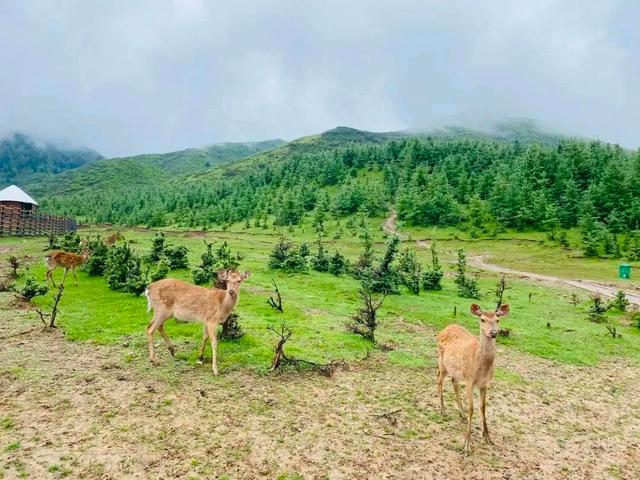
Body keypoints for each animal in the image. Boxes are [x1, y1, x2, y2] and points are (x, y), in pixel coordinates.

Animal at [436, 304, 510, 454]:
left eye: (497, 319)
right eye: (482, 319)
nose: (494, 332)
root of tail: (445, 328)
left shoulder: (484, 383)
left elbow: (483, 407)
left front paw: (488, 437)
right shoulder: (470, 380)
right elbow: (472, 408)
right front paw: (466, 444)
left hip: (456, 371)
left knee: (453, 383)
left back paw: (462, 414)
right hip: (442, 362)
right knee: (439, 382)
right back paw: (443, 411)